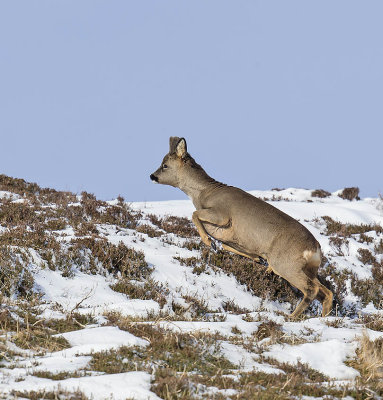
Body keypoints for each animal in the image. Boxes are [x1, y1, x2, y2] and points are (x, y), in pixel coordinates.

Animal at [150, 138, 332, 318]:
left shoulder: (222, 215)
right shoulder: (229, 236)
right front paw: (257, 258)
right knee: (326, 292)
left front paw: (209, 242)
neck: (203, 194)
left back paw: (292, 316)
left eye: (165, 165)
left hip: (285, 264)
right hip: (308, 269)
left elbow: (194, 214)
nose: (152, 175)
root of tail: (315, 248)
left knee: (312, 289)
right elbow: (226, 245)